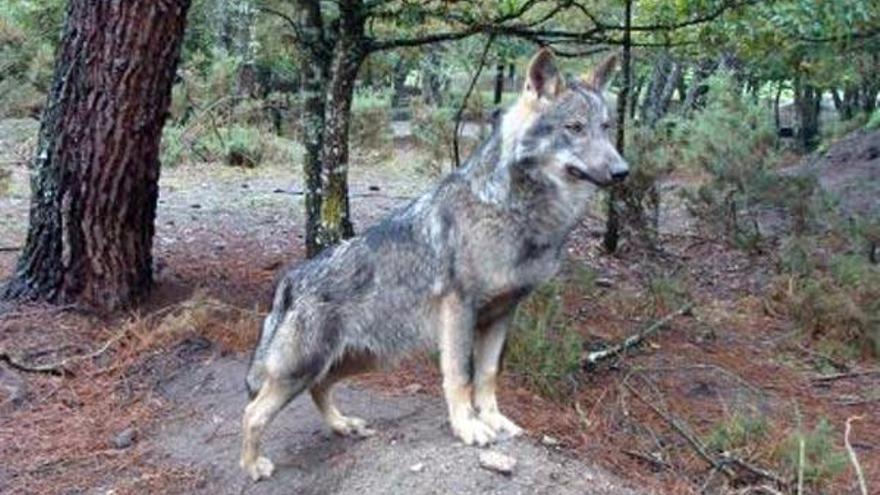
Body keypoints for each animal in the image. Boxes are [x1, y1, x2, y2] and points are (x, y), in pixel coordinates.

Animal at [241, 49, 624, 480]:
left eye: (606, 128)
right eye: (574, 128)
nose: (622, 171)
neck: (515, 212)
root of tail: (290, 280)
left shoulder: (503, 314)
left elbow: (487, 376)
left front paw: (493, 420)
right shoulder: (460, 309)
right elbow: (460, 376)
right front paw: (467, 427)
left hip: (358, 360)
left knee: (319, 388)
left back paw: (343, 425)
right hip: (304, 368)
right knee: (252, 412)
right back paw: (253, 466)